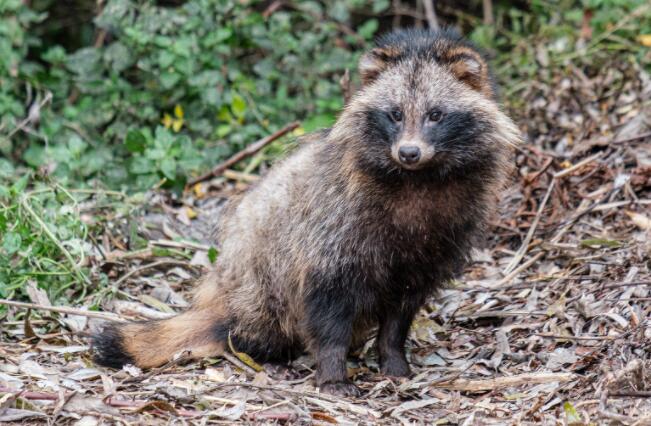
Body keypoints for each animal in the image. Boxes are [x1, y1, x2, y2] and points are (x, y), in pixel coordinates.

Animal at [93, 29, 520, 396]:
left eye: (435, 114)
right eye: (395, 114)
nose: (409, 152)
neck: (418, 179)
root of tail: (221, 303)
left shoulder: (436, 240)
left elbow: (401, 310)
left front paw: (393, 357)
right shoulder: (331, 233)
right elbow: (327, 310)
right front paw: (332, 373)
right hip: (257, 281)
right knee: (262, 319)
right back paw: (262, 350)